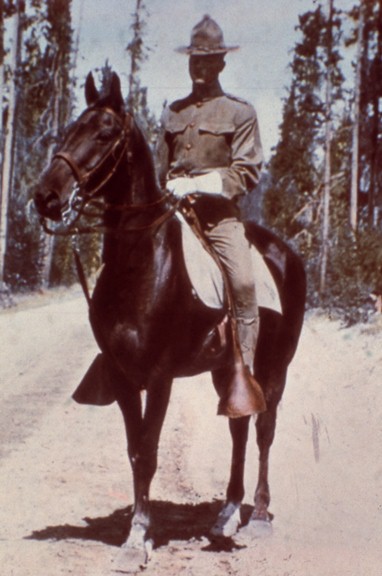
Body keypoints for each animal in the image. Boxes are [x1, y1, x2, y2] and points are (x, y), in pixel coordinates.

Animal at [34, 73, 306, 568]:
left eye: (104, 133)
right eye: (68, 129)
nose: (45, 197)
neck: (142, 265)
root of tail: (287, 254)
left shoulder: (160, 376)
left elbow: (149, 450)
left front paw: (137, 538)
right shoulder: (123, 376)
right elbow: (133, 450)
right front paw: (136, 530)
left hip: (274, 367)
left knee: (263, 430)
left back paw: (257, 515)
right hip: (226, 370)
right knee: (239, 429)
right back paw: (226, 514)